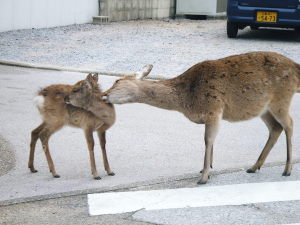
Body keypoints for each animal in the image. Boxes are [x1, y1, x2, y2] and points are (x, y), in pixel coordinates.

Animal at [102, 51, 298, 185]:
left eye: (116, 81)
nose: (103, 95)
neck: (186, 100)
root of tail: (297, 68)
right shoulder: (211, 115)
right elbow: (210, 142)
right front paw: (207, 169)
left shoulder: (214, 109)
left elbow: (208, 140)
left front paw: (203, 177)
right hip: (263, 108)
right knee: (275, 128)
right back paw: (254, 166)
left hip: (281, 99)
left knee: (289, 124)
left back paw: (287, 170)